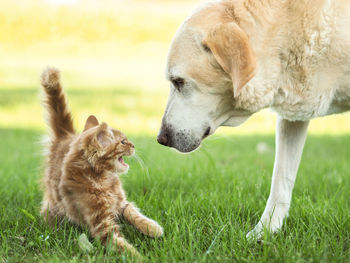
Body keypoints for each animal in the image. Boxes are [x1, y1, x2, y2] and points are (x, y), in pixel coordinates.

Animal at [40, 67, 163, 258]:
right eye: (123, 142)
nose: (133, 145)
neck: (103, 180)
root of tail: (65, 136)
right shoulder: (102, 225)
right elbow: (121, 245)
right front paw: (141, 257)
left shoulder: (121, 202)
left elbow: (133, 212)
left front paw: (152, 228)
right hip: (53, 201)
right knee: (48, 209)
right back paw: (51, 226)